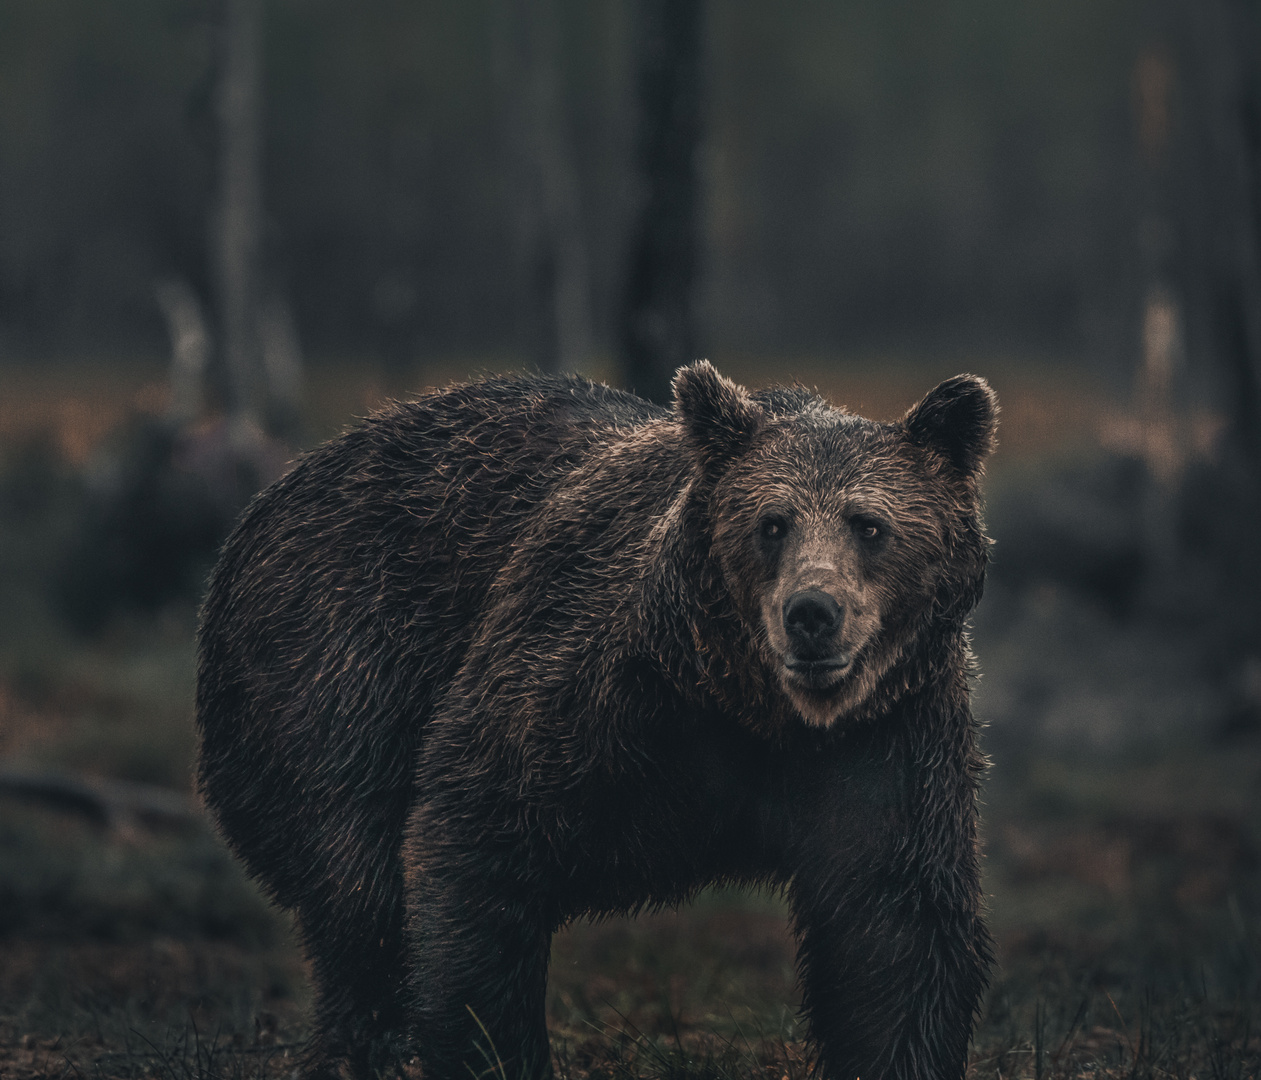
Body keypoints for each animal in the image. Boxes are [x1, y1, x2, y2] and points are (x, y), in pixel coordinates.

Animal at [196, 360, 998, 1080]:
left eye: (869, 525)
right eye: (772, 524)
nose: (812, 614)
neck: (746, 702)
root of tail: (287, 481)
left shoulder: (885, 737)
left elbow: (893, 922)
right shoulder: (587, 687)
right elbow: (474, 838)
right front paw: (492, 1050)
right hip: (336, 660)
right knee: (356, 882)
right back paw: (368, 1047)